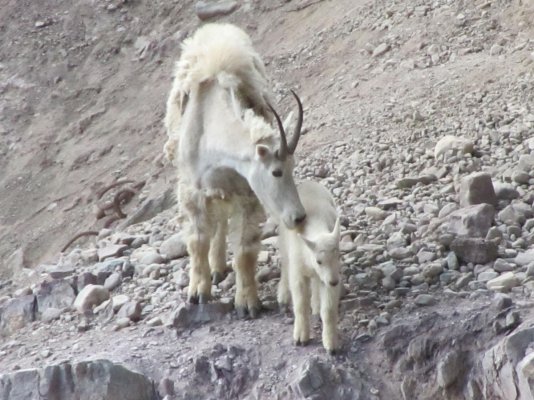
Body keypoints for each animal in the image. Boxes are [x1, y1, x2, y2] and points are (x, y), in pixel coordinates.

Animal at [163, 23, 306, 318]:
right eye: (276, 172)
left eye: (293, 167)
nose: (298, 217)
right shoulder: (193, 191)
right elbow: (197, 241)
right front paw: (198, 293)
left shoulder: (246, 194)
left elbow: (244, 252)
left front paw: (248, 304)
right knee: (214, 224)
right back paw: (214, 271)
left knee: (220, 221)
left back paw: (220, 268)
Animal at [278, 181, 342, 354]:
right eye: (319, 261)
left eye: (339, 256)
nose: (335, 282)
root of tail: (308, 182)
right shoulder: (298, 272)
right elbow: (300, 304)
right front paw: (300, 338)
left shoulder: (330, 275)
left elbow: (329, 310)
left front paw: (331, 345)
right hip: (284, 242)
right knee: (285, 265)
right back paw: (283, 296)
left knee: (315, 282)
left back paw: (316, 305)